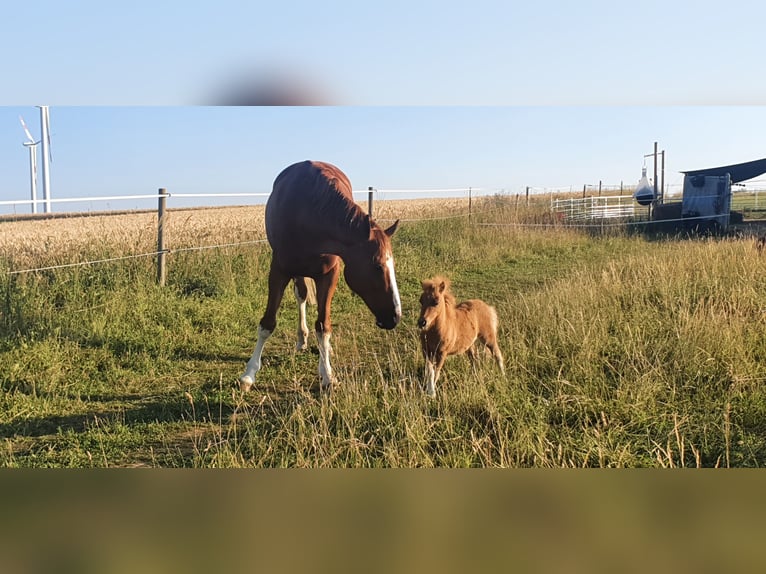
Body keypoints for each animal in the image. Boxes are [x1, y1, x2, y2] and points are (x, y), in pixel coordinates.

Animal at [242, 163, 404, 396]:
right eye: (377, 266)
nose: (395, 317)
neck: (310, 214)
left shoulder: (329, 275)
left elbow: (323, 325)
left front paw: (327, 375)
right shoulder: (278, 270)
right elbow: (267, 324)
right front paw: (249, 374)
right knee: (301, 295)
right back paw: (301, 338)